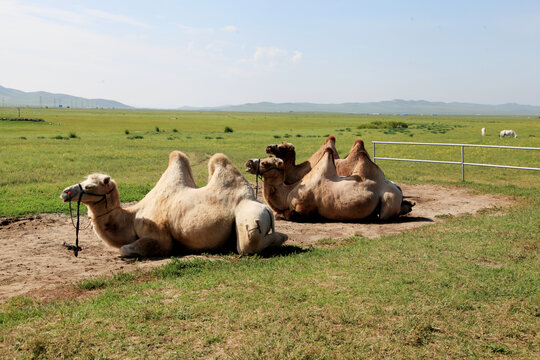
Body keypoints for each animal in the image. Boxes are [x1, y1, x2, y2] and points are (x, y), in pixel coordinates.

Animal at [61, 150, 288, 258]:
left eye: (90, 186)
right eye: (85, 181)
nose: (65, 192)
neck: (132, 217)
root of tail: (264, 206)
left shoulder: (159, 236)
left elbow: (125, 249)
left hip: (249, 217)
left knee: (249, 244)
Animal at [246, 148, 414, 221]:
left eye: (266, 163)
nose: (248, 162)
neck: (288, 193)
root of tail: (396, 188)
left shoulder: (303, 208)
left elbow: (286, 215)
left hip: (389, 199)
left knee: (384, 215)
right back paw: (409, 205)